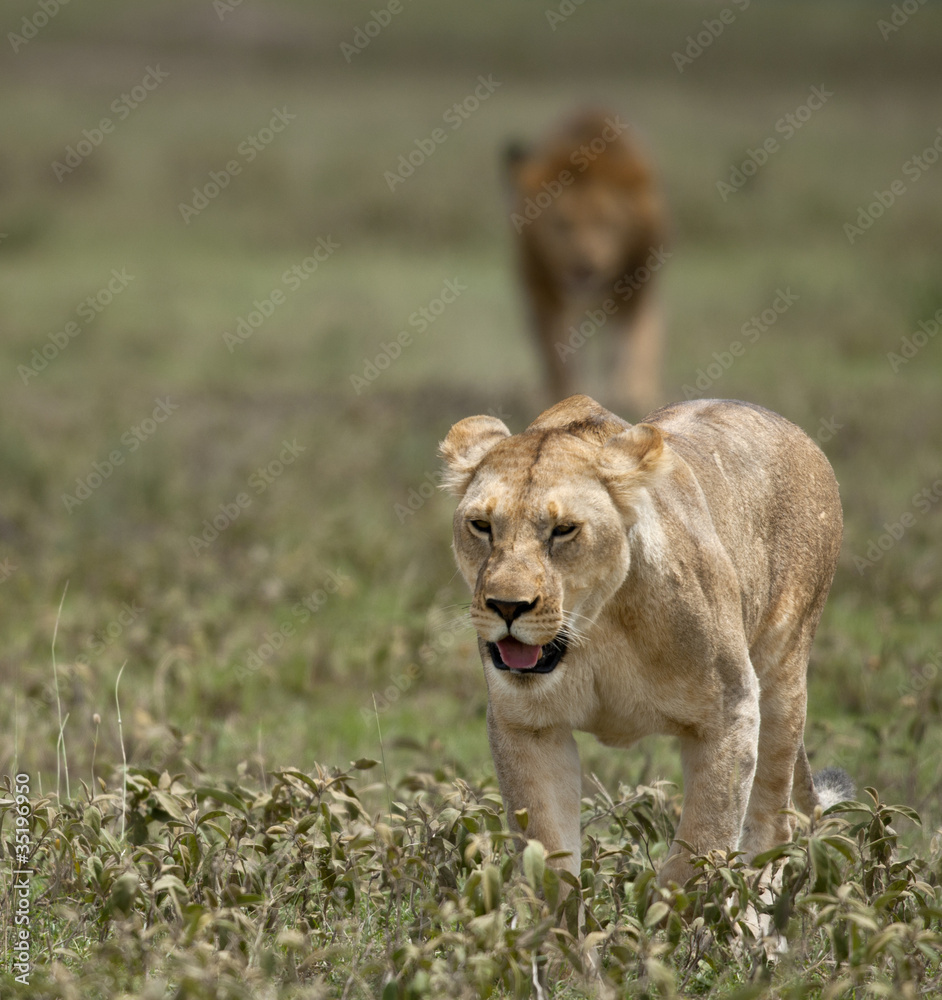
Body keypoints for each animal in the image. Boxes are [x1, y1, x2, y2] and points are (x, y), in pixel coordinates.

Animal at [440, 394, 853, 888]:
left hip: (782, 676)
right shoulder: (527, 725)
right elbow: (549, 858)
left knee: (774, 826)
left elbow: (698, 853)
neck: (595, 628)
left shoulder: (731, 710)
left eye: (564, 530)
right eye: (481, 525)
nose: (506, 606)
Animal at [505, 110, 668, 416]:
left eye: (607, 223)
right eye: (561, 225)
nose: (584, 268)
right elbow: (559, 358)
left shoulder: (639, 283)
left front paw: (631, 395)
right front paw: (567, 401)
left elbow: (634, 343)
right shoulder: (543, 292)